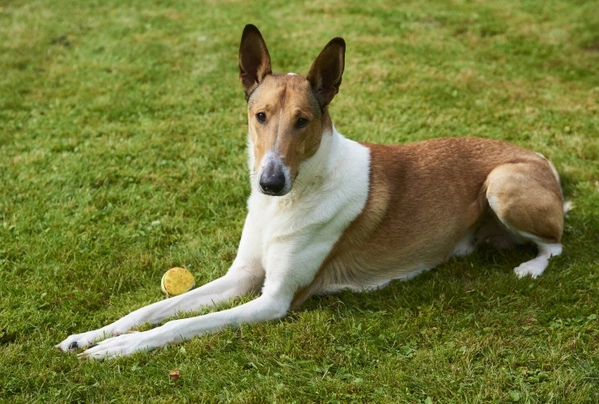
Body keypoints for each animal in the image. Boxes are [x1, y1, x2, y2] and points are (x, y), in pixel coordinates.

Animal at [56, 24, 568, 360]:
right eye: (260, 116)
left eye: (303, 121)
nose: (270, 182)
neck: (288, 203)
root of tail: (541, 157)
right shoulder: (243, 276)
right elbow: (156, 307)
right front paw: (91, 336)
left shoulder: (274, 300)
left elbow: (181, 324)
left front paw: (117, 349)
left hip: (502, 184)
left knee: (557, 244)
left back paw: (530, 267)